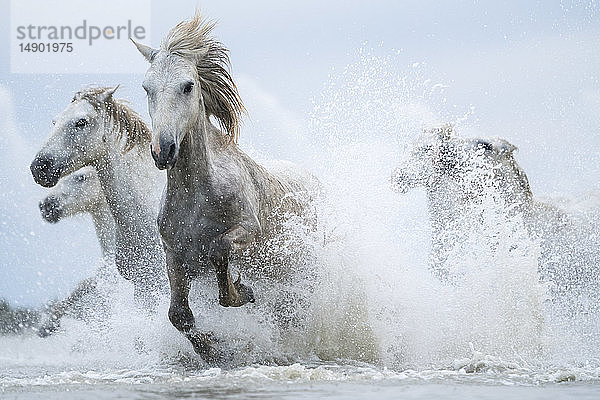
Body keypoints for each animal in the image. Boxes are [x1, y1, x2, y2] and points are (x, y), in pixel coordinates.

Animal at [131, 14, 318, 360]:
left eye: (188, 85)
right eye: (147, 88)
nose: (163, 150)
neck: (196, 200)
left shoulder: (248, 231)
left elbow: (220, 251)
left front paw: (242, 290)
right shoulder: (174, 255)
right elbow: (178, 315)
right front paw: (211, 351)